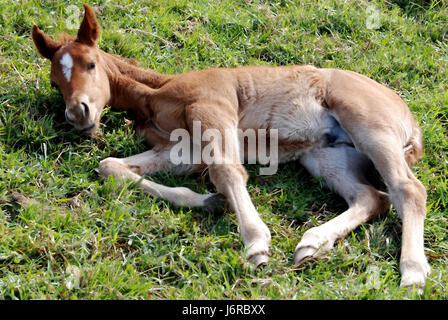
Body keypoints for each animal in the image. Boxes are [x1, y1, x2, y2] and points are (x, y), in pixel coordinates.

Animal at [31, 4, 430, 290]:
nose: (78, 113)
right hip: (326, 155)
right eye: (54, 82)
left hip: (368, 125)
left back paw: (412, 273)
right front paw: (208, 201)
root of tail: (410, 119)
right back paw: (313, 243)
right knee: (371, 196)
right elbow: (111, 166)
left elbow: (228, 171)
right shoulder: (185, 150)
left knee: (408, 189)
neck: (154, 94)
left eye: (90, 64)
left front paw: (257, 246)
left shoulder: (212, 107)